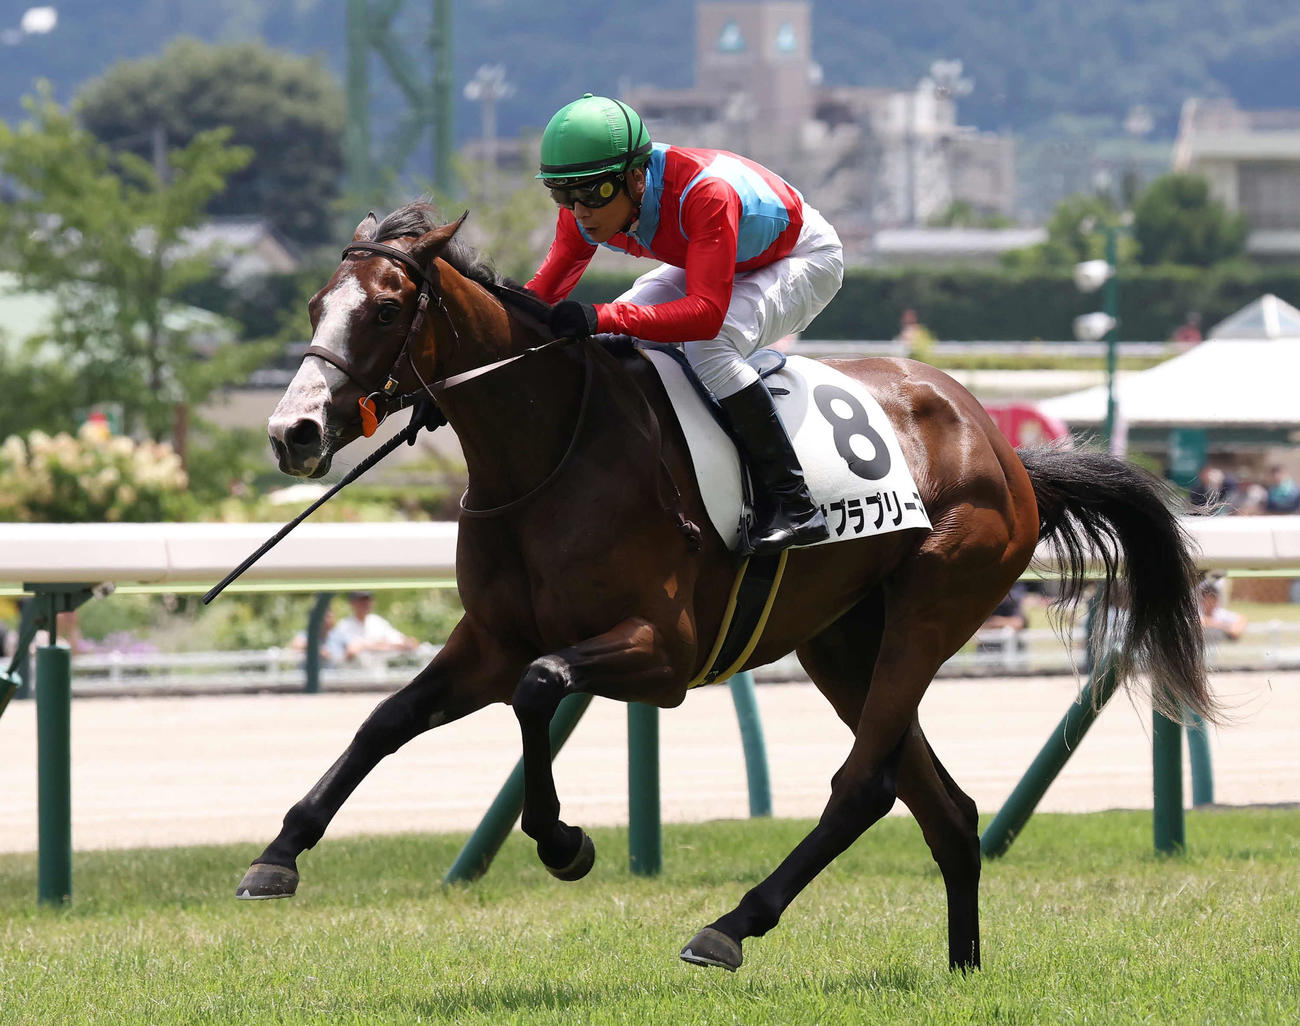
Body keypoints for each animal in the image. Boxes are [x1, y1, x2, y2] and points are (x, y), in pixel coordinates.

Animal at [248, 201, 1214, 973]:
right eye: (314, 305)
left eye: (383, 308)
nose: (294, 431)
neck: (551, 449)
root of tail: (1007, 453)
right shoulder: (488, 641)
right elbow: (386, 720)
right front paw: (280, 851)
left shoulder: (662, 653)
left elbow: (540, 687)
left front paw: (564, 843)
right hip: (841, 642)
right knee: (941, 804)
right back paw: (962, 966)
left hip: (933, 604)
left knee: (864, 786)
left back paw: (730, 926)